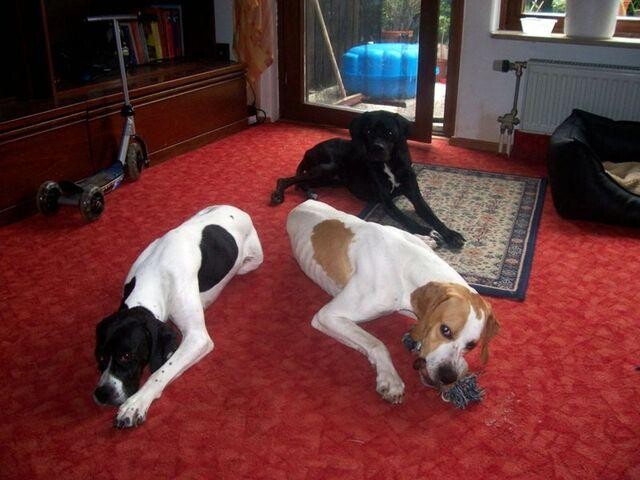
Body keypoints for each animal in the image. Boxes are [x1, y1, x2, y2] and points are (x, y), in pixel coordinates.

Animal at [94, 205, 263, 428]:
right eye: (100, 356)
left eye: (127, 356)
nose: (102, 394)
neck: (153, 273)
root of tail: (236, 208)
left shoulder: (197, 338)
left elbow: (160, 373)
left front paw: (136, 403)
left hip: (252, 260)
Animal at [271, 110, 465, 249]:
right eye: (369, 131)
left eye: (390, 132)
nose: (377, 148)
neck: (389, 163)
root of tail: (308, 150)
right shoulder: (387, 203)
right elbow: (407, 220)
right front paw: (429, 233)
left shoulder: (415, 196)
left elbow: (431, 214)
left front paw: (451, 234)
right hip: (327, 168)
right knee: (287, 179)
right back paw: (279, 195)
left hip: (332, 179)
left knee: (301, 182)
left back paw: (311, 193)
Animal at [286, 200, 499, 404]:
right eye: (445, 330)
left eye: (471, 345)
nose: (447, 376)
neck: (409, 264)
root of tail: (303, 204)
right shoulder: (328, 316)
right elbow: (376, 343)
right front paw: (390, 379)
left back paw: (427, 239)